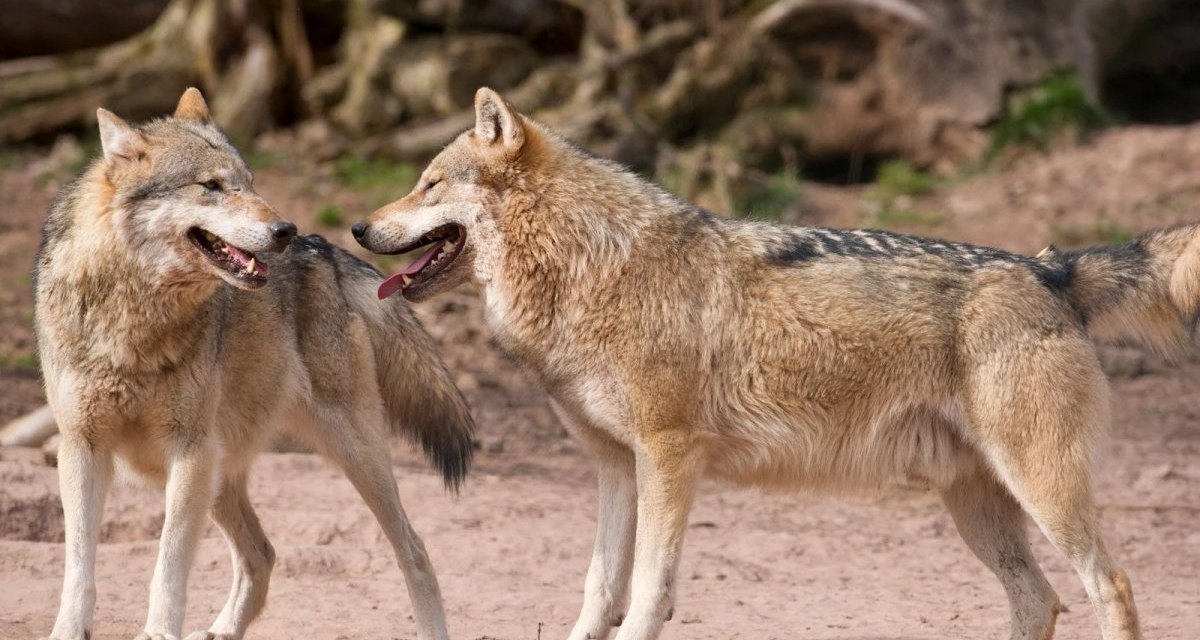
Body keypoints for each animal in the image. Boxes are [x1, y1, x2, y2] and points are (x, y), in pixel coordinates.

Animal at [36, 89, 474, 640]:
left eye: (249, 182)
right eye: (211, 187)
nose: (284, 229)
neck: (133, 322)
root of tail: (326, 249)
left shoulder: (189, 451)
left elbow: (167, 565)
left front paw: (158, 632)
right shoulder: (81, 449)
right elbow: (79, 567)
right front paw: (69, 630)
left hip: (350, 453)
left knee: (413, 551)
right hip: (221, 478)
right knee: (262, 554)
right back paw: (222, 630)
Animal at [350, 87, 1195, 640]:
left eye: (428, 183)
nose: (356, 226)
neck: (594, 265)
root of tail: (1051, 268)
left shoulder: (670, 457)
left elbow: (647, 591)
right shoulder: (617, 467)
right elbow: (598, 589)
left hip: (1040, 490)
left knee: (1109, 586)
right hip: (978, 507)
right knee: (1037, 601)